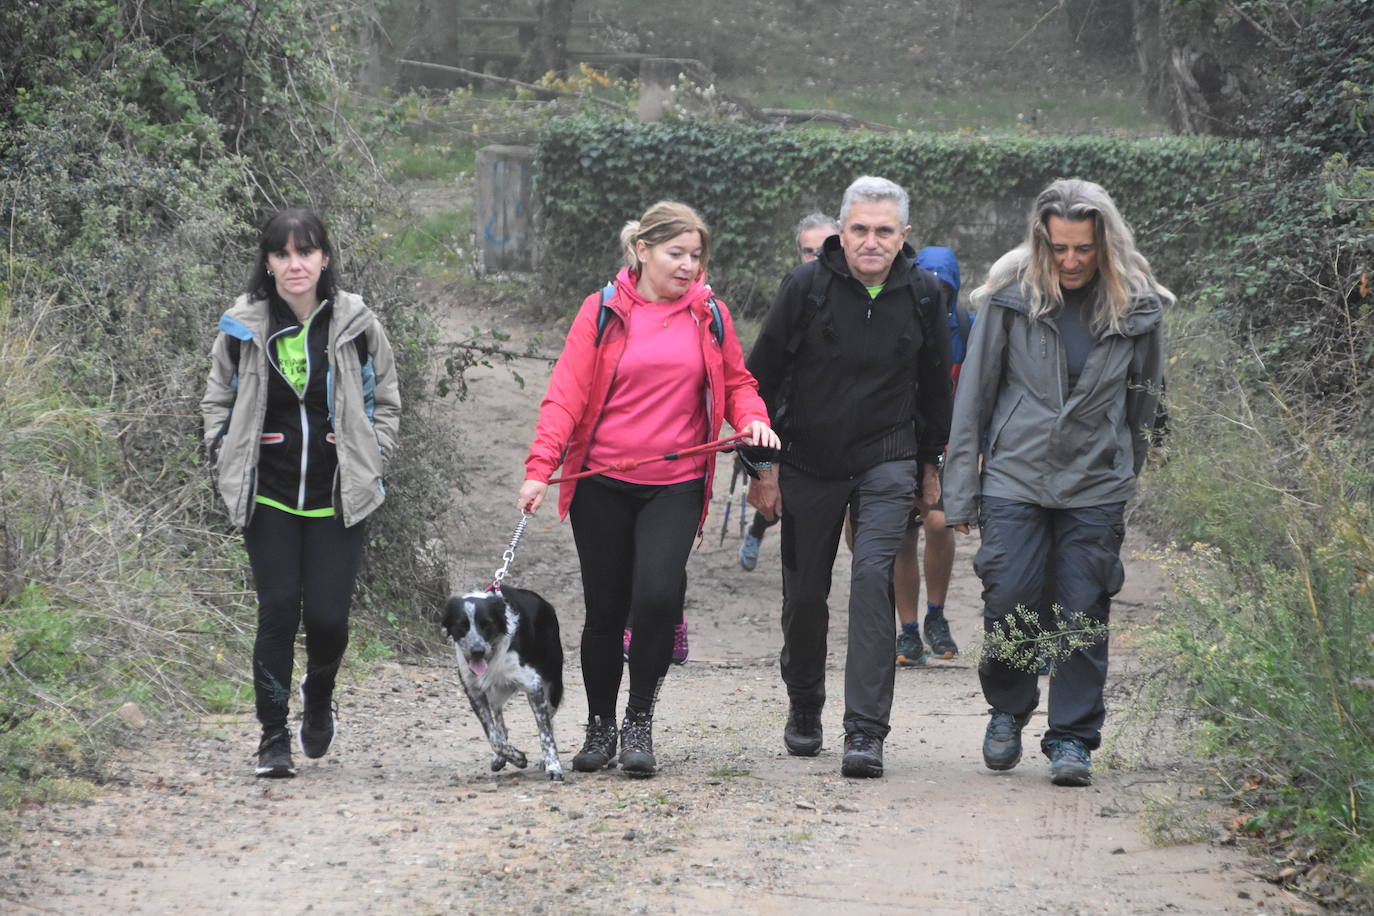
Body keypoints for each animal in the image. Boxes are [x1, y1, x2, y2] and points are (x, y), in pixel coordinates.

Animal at [442, 587, 566, 780]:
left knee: (549, 719)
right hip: (496, 694)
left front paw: (553, 766)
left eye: (487, 624)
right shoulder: (474, 691)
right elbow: (494, 738)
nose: (477, 651)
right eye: (462, 625)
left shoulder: (533, 683)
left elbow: (545, 733)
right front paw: (516, 757)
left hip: (552, 684)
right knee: (500, 722)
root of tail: (544, 602)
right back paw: (500, 758)